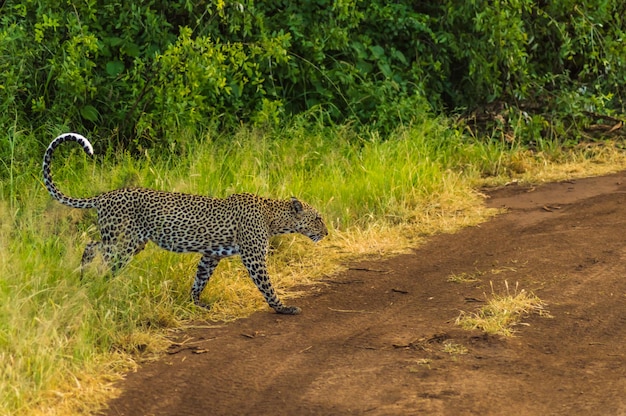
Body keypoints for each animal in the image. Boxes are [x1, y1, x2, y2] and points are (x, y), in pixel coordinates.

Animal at [42, 132, 326, 314]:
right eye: (317, 218)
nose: (326, 232)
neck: (272, 216)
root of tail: (105, 195)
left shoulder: (211, 254)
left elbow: (200, 279)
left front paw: (195, 303)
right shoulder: (253, 257)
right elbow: (266, 284)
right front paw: (283, 308)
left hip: (129, 242)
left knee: (92, 245)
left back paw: (84, 279)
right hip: (123, 243)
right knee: (99, 255)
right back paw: (98, 286)